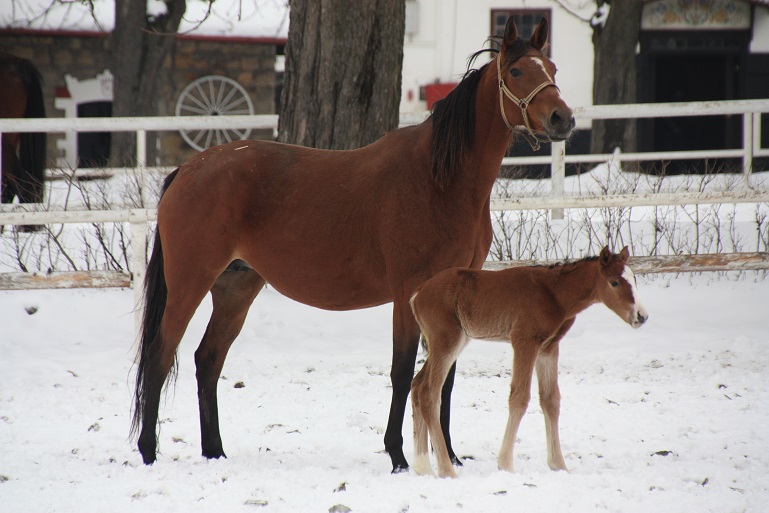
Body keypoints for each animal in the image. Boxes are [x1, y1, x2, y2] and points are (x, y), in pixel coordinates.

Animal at [135, 17, 572, 472]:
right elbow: (403, 371)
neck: (440, 180)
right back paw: (148, 450)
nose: (563, 118)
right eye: (517, 72)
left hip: (235, 288)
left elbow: (445, 378)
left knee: (207, 360)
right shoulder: (409, 294)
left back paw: (215, 450)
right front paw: (398, 455)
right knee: (160, 355)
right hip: (190, 283)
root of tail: (187, 169)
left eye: (552, 69)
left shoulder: (454, 296)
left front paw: (448, 454)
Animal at [412, 246, 644, 478]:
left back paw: (423, 466)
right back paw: (446, 470)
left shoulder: (548, 348)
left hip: (452, 342)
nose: (642, 316)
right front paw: (505, 464)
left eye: (634, 279)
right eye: (614, 282)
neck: (554, 294)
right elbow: (519, 397)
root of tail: (417, 293)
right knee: (430, 393)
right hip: (447, 342)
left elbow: (551, 400)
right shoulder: (525, 341)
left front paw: (559, 465)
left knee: (417, 385)